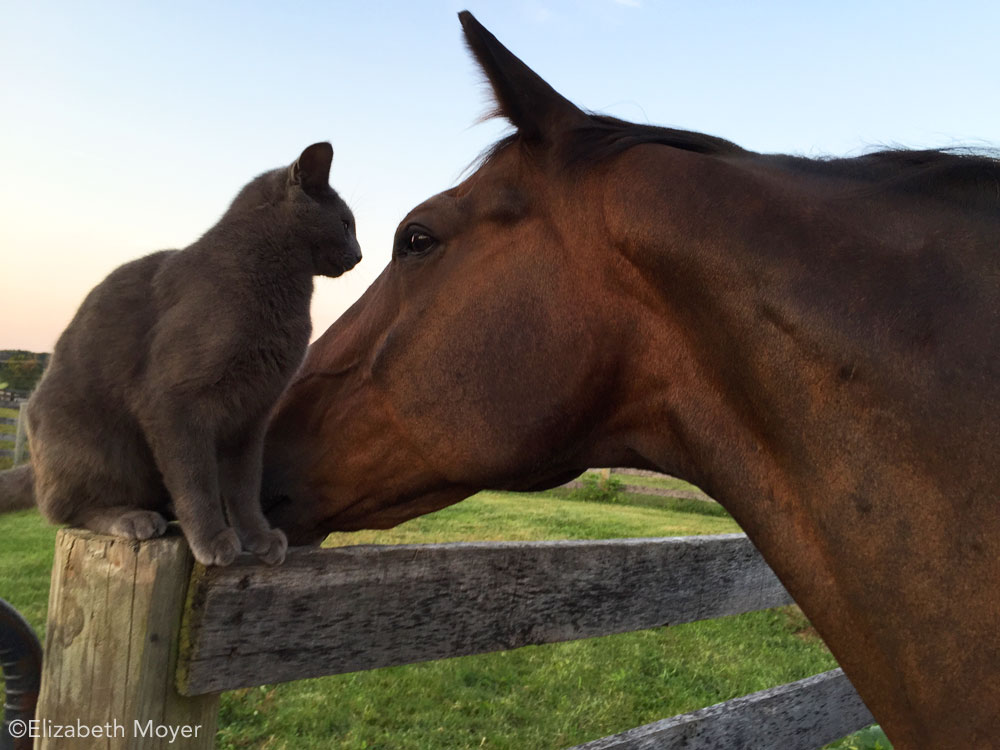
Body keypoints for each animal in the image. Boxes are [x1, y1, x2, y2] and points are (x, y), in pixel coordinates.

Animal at [11, 141, 358, 568]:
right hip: (92, 444)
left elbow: (244, 484)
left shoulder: (252, 414)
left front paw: (258, 537)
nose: (359, 254)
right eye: (346, 223)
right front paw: (213, 539)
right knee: (65, 508)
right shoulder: (174, 401)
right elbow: (197, 479)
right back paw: (134, 517)